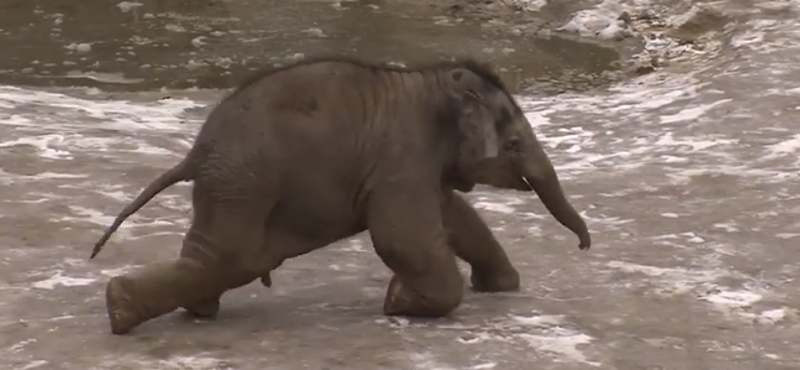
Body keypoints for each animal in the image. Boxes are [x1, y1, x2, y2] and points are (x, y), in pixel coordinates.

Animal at [90, 55, 592, 336]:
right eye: (513, 145)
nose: (585, 245)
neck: (433, 83)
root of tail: (195, 153)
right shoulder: (403, 156)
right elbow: (399, 235)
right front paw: (398, 302)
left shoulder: (418, 166)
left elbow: (453, 214)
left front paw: (502, 286)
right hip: (244, 182)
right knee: (226, 258)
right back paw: (118, 308)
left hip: (235, 186)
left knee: (227, 260)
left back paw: (185, 309)